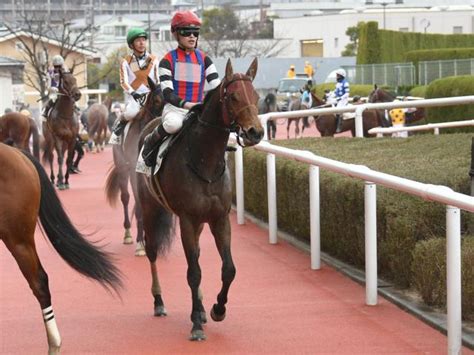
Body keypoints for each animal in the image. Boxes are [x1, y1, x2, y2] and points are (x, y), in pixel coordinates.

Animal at [105, 81, 164, 256]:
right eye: (157, 101)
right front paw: (140, 244)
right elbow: (138, 206)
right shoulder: (133, 172)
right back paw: (128, 235)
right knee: (125, 197)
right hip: (122, 168)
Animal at [135, 58, 264, 342]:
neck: (205, 162)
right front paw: (195, 323)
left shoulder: (219, 218)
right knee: (152, 251)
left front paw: (217, 309)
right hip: (150, 208)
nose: (255, 132)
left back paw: (204, 308)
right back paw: (159, 301)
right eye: (234, 96)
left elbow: (228, 269)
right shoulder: (187, 219)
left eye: (257, 96)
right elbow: (193, 272)